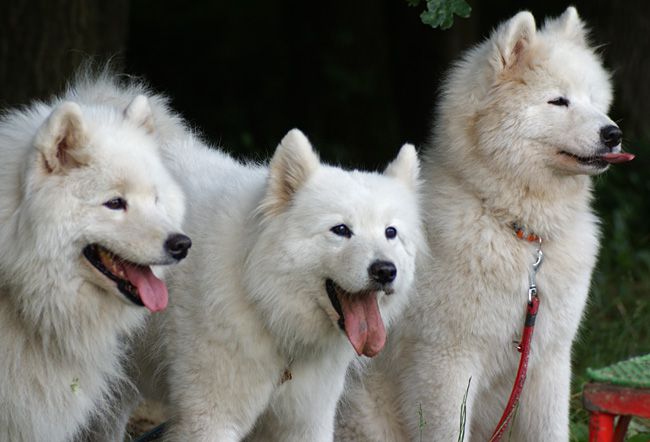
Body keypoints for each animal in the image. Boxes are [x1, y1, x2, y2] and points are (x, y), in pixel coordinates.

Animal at [336, 6, 632, 442]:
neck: (519, 231)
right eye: (558, 101)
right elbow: (448, 429)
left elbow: (551, 429)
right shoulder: (446, 361)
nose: (613, 133)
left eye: (594, 101)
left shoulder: (548, 361)